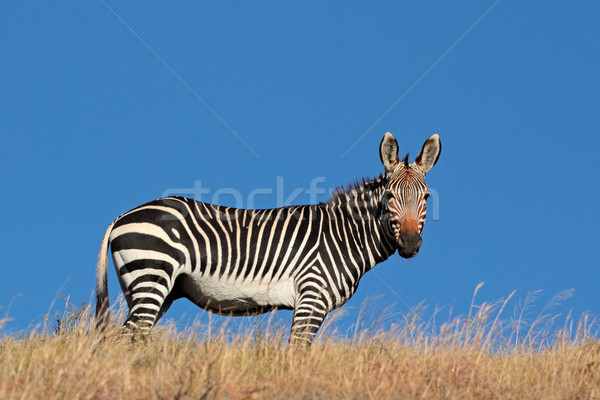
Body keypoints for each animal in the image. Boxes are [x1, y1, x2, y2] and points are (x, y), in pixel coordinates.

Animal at [95, 133, 440, 346]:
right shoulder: (311, 297)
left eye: (426, 197)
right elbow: (296, 353)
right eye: (390, 196)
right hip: (150, 277)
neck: (344, 235)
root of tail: (121, 216)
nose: (410, 244)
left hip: (156, 290)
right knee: (124, 339)